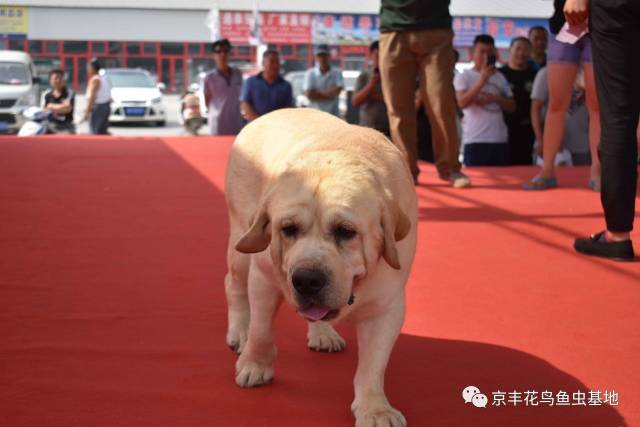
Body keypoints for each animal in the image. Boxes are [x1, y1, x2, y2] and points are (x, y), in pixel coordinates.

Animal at [226, 108, 420, 426]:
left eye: (346, 231)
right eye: (288, 229)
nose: (306, 279)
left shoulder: (387, 306)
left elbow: (373, 364)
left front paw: (374, 408)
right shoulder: (263, 276)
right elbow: (262, 329)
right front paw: (255, 364)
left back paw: (322, 333)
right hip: (241, 241)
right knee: (234, 286)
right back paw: (239, 331)